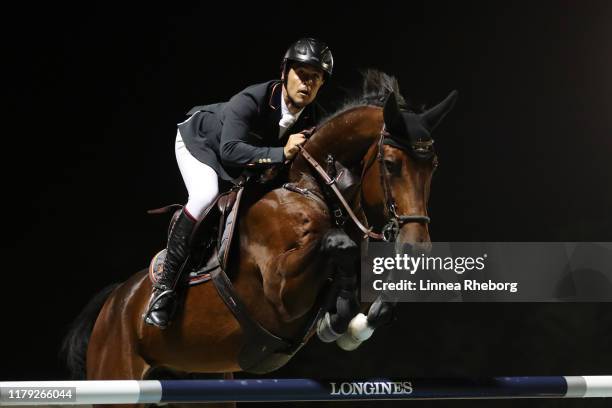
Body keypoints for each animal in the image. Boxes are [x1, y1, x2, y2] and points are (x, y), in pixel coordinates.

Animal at [62, 71, 454, 408]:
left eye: (433, 166)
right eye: (390, 164)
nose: (417, 246)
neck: (310, 187)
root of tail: (114, 301)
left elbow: (370, 284)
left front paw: (352, 322)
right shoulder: (280, 292)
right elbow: (337, 244)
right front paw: (341, 321)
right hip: (116, 378)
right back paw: (159, 305)